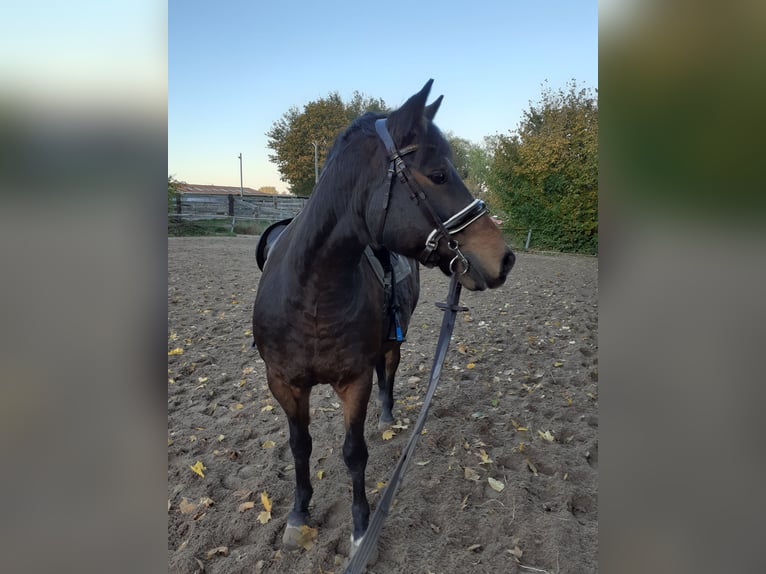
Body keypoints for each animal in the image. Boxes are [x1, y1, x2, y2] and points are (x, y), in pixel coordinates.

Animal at [252, 80, 515, 558]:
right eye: (439, 174)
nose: (503, 258)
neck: (311, 295)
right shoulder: (283, 383)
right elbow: (300, 447)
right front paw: (299, 515)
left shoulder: (353, 381)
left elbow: (354, 452)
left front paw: (361, 530)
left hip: (392, 342)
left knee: (388, 370)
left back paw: (388, 416)